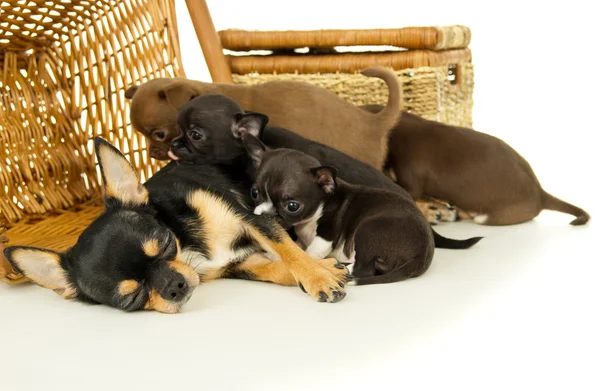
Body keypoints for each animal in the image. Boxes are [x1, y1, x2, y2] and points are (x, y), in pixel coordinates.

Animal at [1, 138, 346, 312]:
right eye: (131, 299)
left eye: (166, 243)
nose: (174, 286)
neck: (187, 244)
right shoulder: (238, 264)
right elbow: (275, 268)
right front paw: (325, 270)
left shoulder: (252, 217)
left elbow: (286, 249)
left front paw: (318, 276)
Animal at [241, 136, 434, 286]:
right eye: (254, 192)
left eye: (292, 206)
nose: (265, 215)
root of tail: (422, 255)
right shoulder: (303, 239)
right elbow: (295, 247)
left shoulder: (325, 238)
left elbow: (308, 254)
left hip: (367, 230)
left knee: (363, 270)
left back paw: (339, 267)